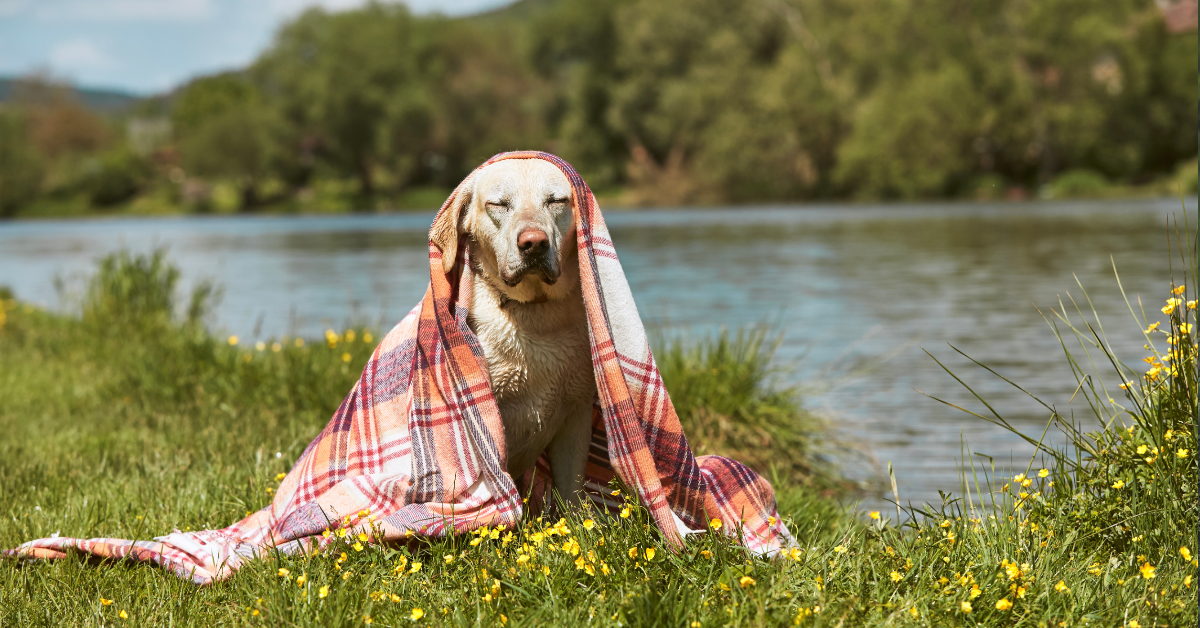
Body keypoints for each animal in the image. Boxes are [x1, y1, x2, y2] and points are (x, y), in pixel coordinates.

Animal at [434, 159, 597, 509]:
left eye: (556, 201)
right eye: (498, 204)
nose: (534, 243)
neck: (535, 314)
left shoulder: (577, 412)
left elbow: (572, 494)